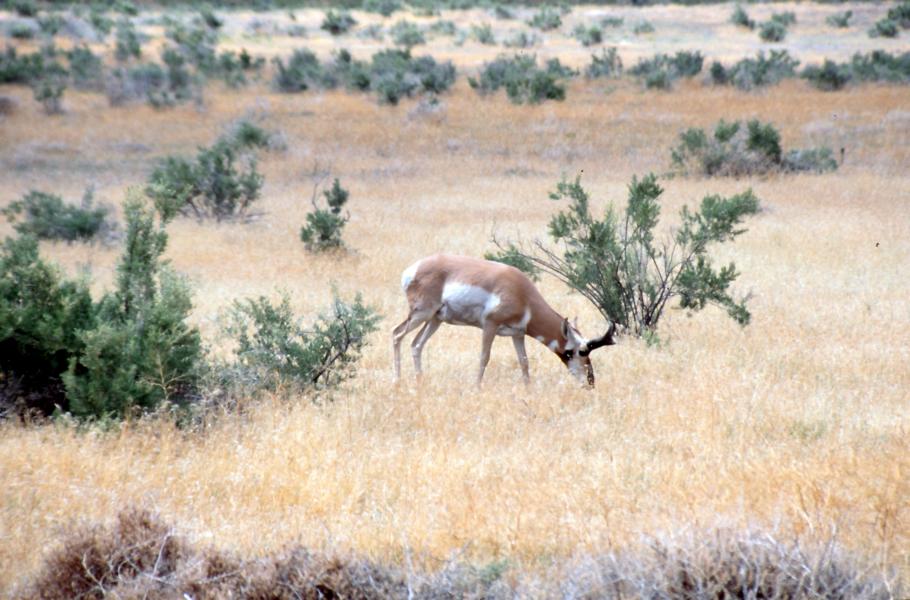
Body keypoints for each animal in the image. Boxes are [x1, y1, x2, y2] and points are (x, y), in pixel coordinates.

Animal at [394, 254, 620, 386]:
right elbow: (484, 357)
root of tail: (412, 269)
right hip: (421, 315)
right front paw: (477, 387)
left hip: (435, 320)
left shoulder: (518, 334)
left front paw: (528, 389)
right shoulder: (490, 326)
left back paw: (420, 381)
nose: (590, 382)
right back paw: (397, 380)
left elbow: (524, 362)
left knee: (416, 344)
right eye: (577, 351)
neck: (522, 293)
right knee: (396, 334)